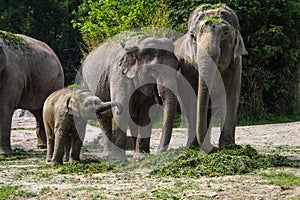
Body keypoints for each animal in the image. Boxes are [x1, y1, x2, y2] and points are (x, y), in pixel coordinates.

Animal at [172, 4, 247, 152]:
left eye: (226, 33)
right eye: (192, 36)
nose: (216, 147)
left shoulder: (235, 64)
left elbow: (231, 97)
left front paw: (228, 146)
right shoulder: (188, 66)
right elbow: (192, 96)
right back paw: (193, 146)